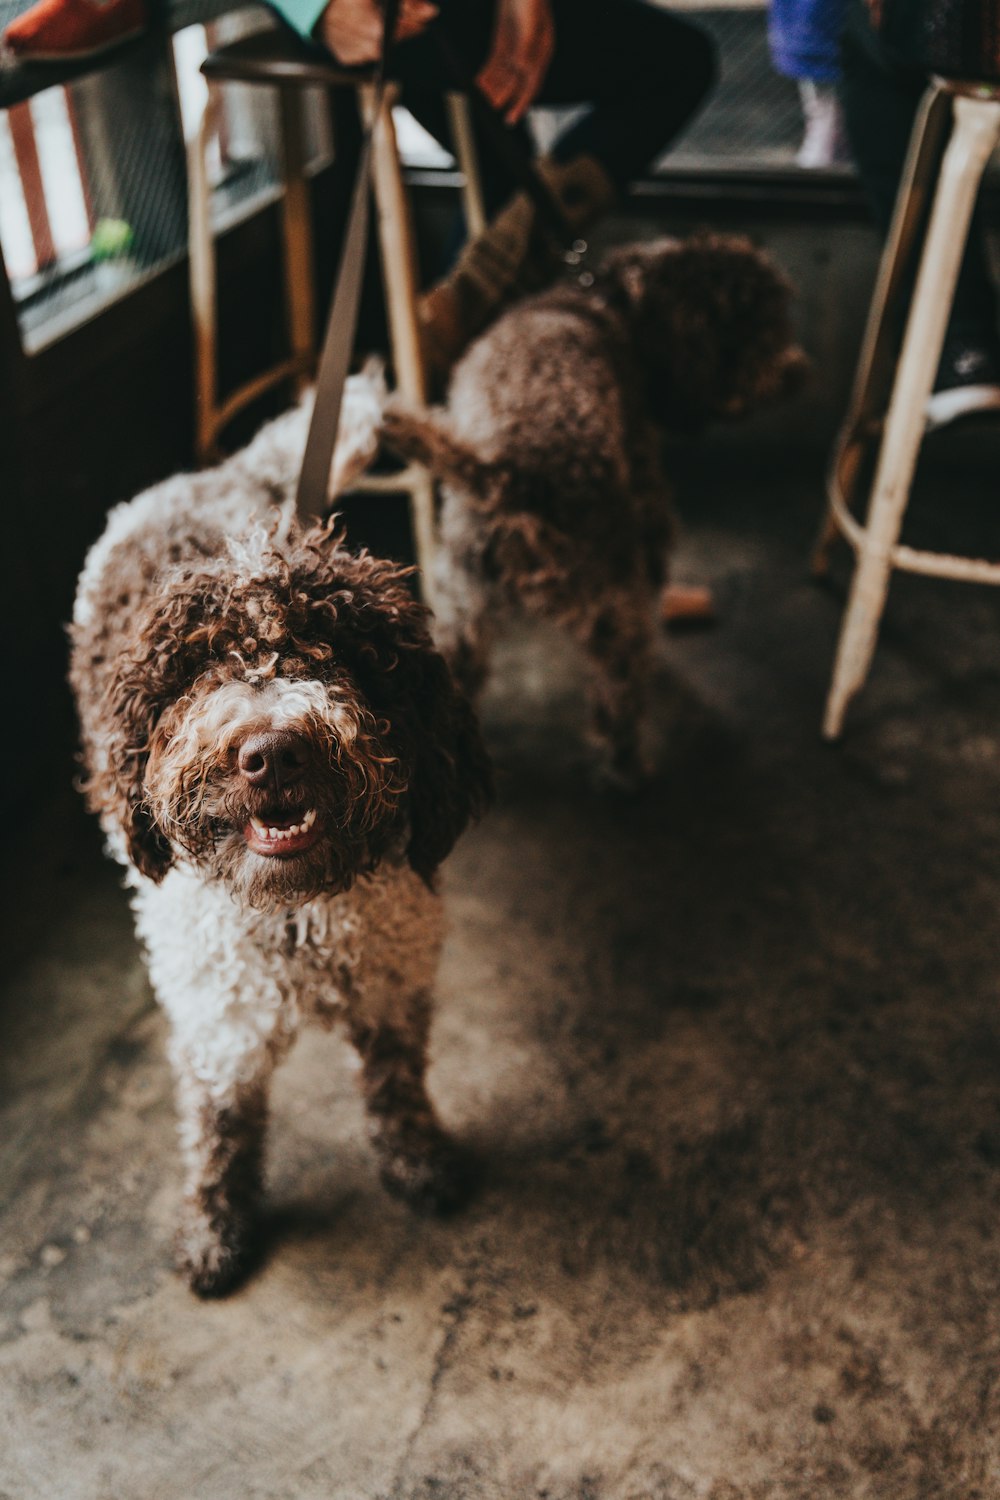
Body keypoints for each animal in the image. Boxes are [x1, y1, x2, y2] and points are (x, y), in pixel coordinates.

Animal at [69, 402, 491, 1302]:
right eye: (202, 662)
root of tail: (219, 477)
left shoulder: (393, 980)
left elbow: (397, 1081)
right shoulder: (215, 1021)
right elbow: (220, 1128)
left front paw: (418, 1161)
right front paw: (214, 1228)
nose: (272, 754)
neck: (296, 912)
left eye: (341, 652)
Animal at [379, 234, 809, 786]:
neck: (611, 300)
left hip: (460, 602)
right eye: (762, 323)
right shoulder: (647, 485)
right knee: (619, 692)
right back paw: (629, 770)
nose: (798, 371)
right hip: (613, 603)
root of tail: (510, 476)